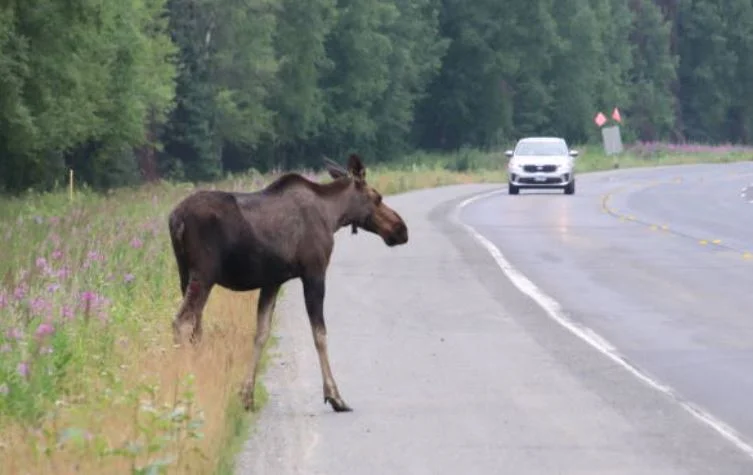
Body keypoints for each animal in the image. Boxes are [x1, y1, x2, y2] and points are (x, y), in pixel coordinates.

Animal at [167, 155, 408, 412]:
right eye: (377, 197)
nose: (402, 229)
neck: (333, 215)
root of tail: (175, 219)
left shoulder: (272, 281)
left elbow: (261, 333)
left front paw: (246, 395)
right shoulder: (314, 272)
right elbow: (319, 334)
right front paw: (335, 396)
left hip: (185, 274)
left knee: (195, 327)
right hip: (204, 274)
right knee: (183, 322)